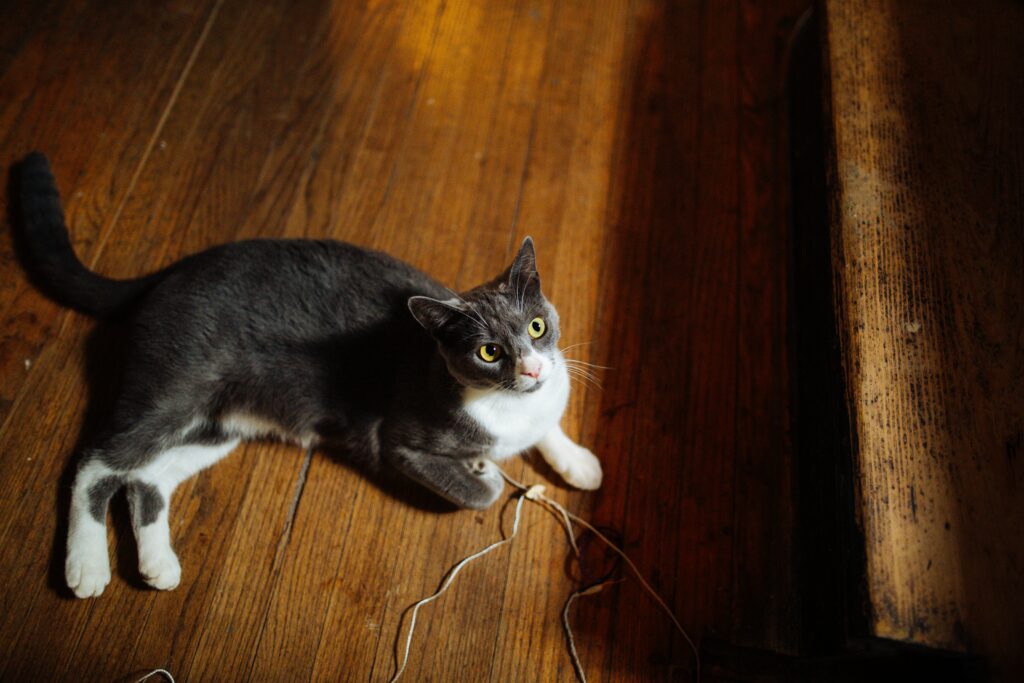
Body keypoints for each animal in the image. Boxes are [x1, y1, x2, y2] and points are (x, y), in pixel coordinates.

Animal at [12, 153, 602, 598]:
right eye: (488, 352)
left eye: (537, 325)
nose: (531, 365)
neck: (512, 405)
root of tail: (172, 271)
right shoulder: (397, 440)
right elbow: (475, 494)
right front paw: (485, 473)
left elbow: (550, 426)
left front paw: (577, 461)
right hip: (174, 389)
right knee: (97, 461)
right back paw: (86, 567)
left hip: (220, 424)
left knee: (147, 477)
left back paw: (159, 566)